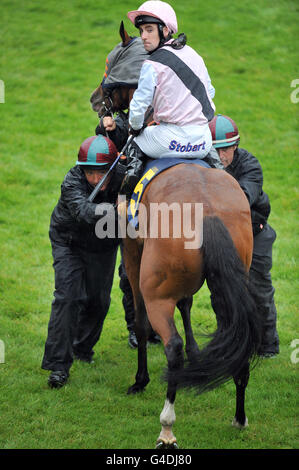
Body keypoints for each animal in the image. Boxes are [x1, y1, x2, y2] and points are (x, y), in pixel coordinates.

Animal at [90, 22, 262, 448]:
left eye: (109, 64)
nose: (96, 99)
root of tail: (208, 212)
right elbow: (187, 304)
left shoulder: (133, 251)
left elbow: (139, 320)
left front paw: (140, 381)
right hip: (233, 280)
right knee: (238, 335)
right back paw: (239, 416)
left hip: (157, 290)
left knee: (171, 346)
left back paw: (166, 426)